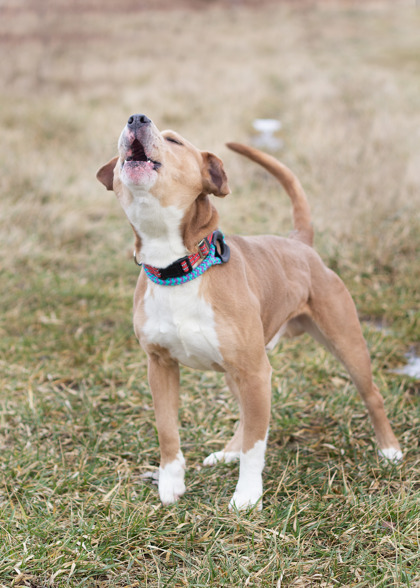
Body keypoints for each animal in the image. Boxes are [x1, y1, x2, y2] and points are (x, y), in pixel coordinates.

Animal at [97, 113, 402, 510]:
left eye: (174, 141)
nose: (136, 117)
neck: (178, 267)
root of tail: (299, 242)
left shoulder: (256, 372)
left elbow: (257, 444)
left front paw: (247, 494)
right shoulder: (160, 367)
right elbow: (167, 431)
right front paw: (171, 482)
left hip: (344, 343)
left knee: (371, 394)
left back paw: (389, 450)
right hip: (236, 369)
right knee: (245, 415)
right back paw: (228, 452)